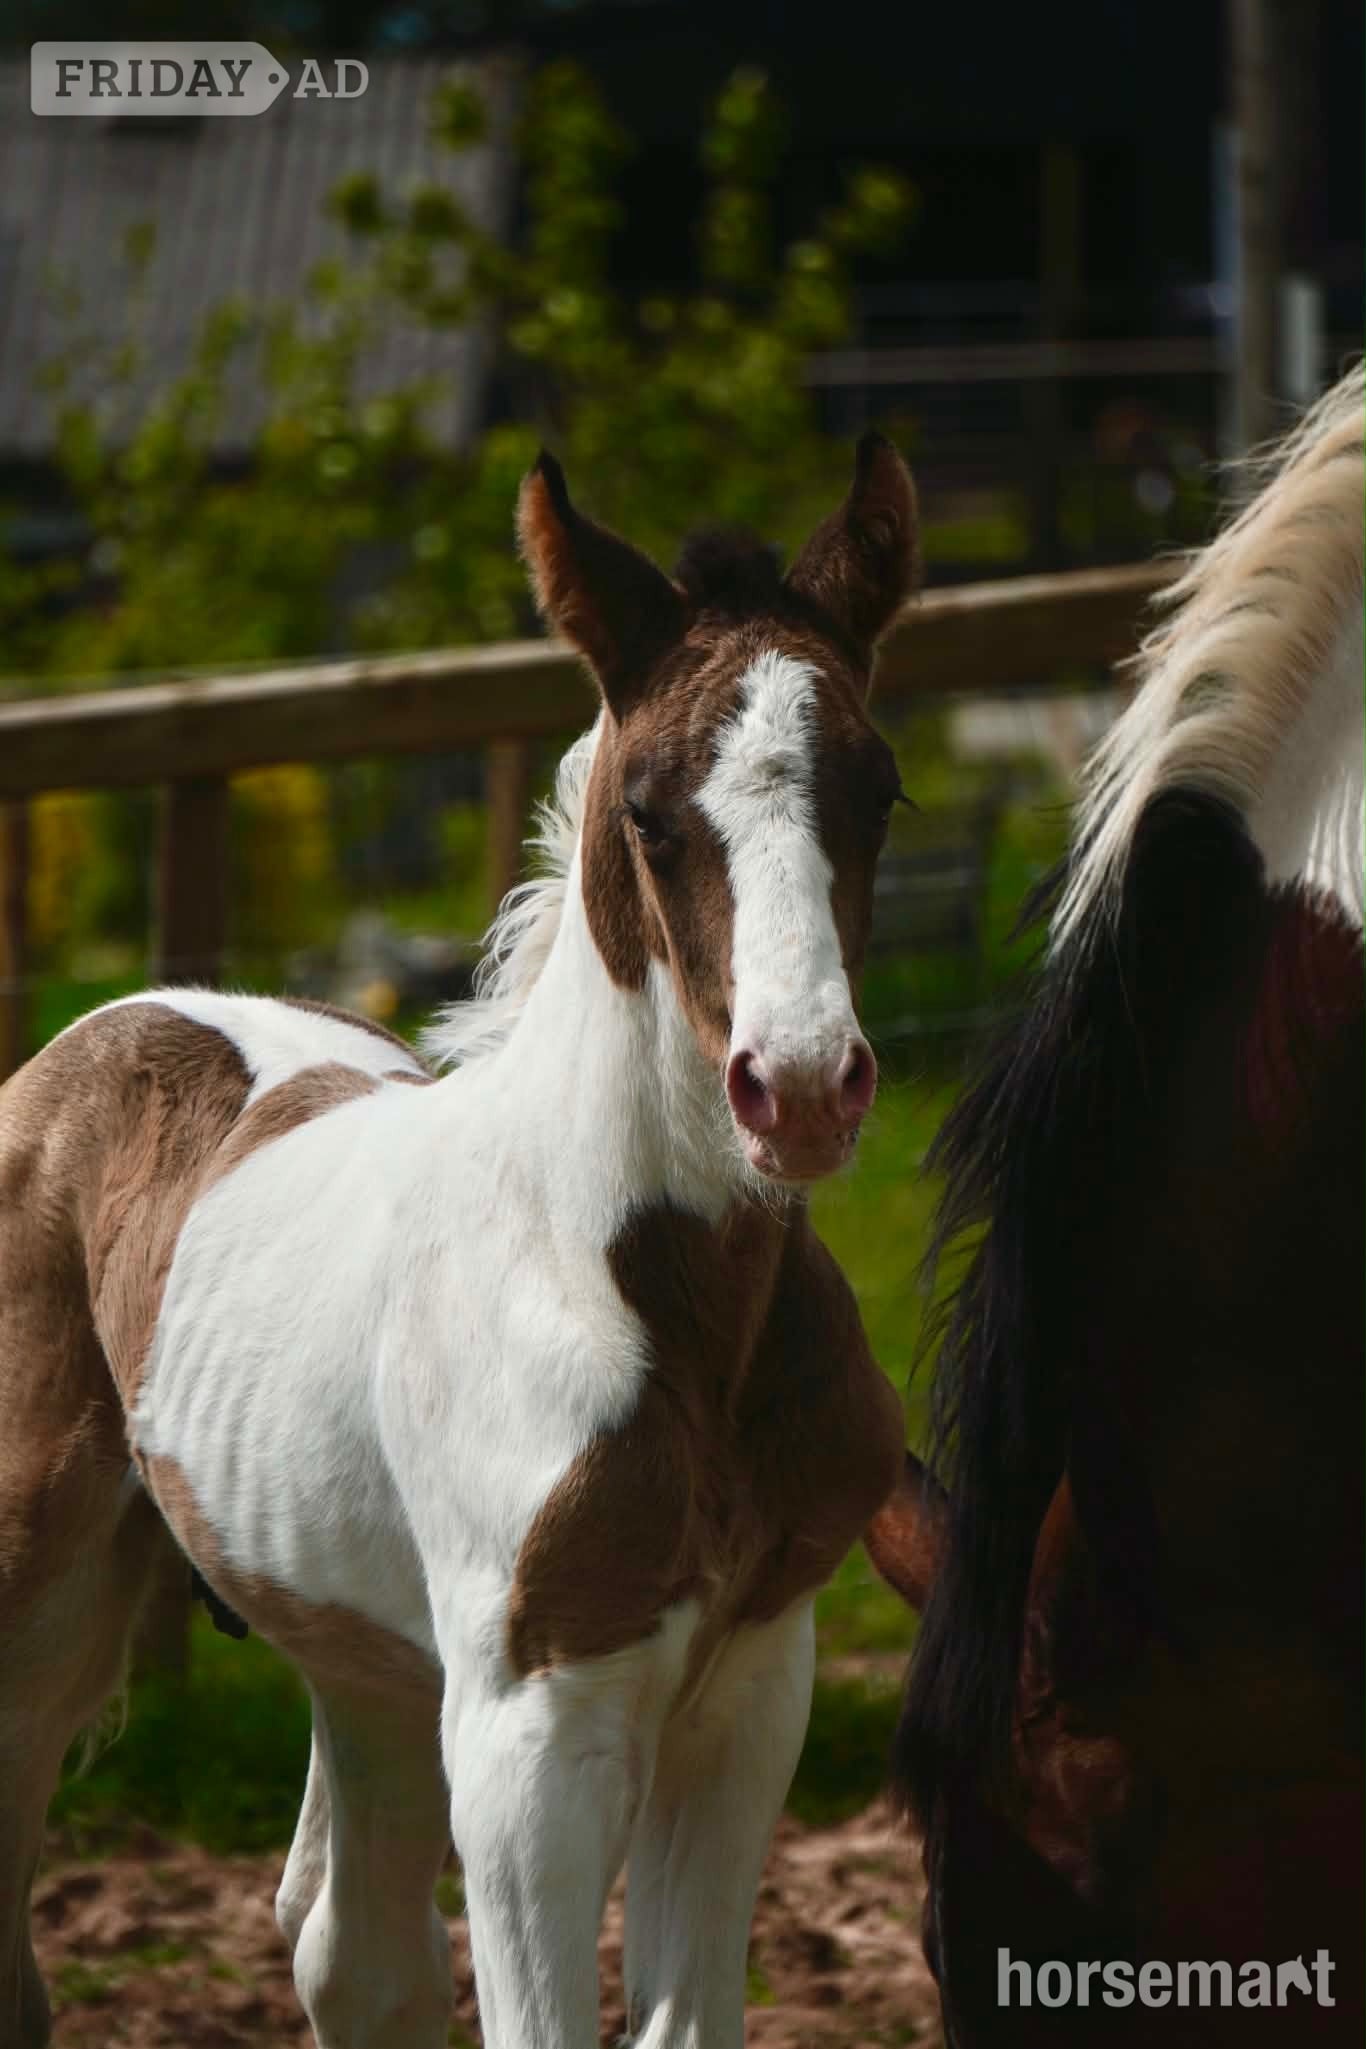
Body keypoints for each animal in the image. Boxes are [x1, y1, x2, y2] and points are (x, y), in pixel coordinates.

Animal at [0, 436, 920, 2049]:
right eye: (647, 813)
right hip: (42, 1591)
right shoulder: (529, 1729)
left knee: (347, 1949)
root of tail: (99, 1026)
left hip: (358, 1661)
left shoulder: (751, 1684)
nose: (802, 1088)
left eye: (876, 790)